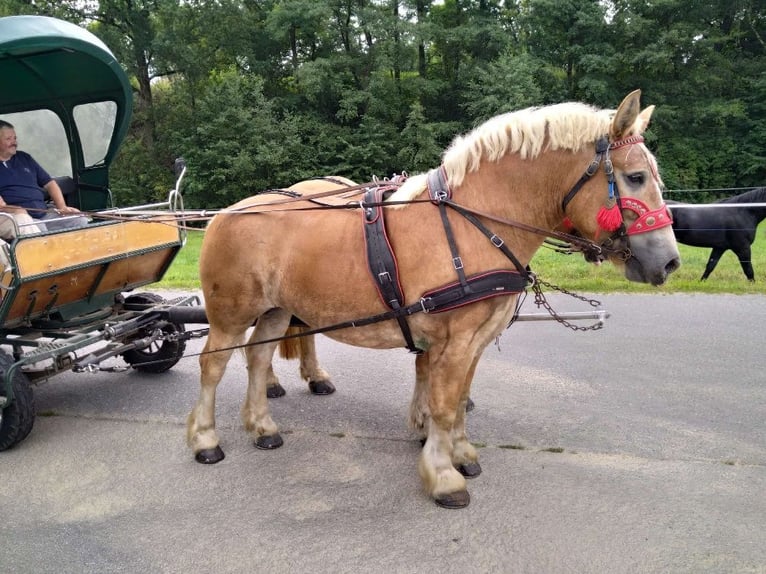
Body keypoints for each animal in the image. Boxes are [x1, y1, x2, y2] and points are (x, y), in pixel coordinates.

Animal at [187, 90, 680, 508]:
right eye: (635, 177)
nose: (671, 262)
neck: (473, 222)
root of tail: (223, 215)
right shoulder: (455, 341)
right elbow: (443, 404)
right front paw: (444, 476)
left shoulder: (473, 341)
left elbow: (459, 400)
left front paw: (461, 453)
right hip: (231, 315)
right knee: (214, 365)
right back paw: (206, 439)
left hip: (275, 310)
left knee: (257, 358)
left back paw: (262, 426)